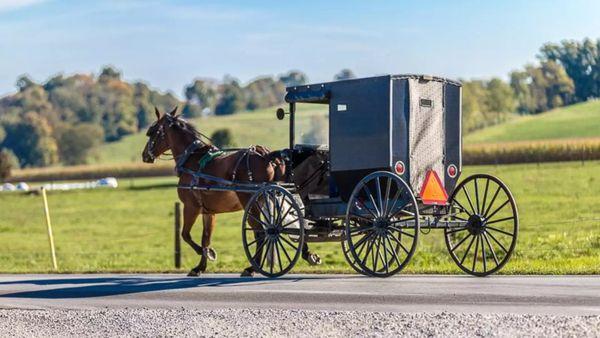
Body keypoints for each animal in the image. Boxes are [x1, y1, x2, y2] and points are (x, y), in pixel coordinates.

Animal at [142, 107, 322, 276]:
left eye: (152, 132)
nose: (145, 156)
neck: (192, 159)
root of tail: (266, 155)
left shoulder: (191, 207)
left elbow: (185, 234)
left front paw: (206, 253)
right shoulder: (208, 211)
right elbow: (205, 237)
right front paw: (200, 266)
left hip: (252, 202)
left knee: (261, 232)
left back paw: (252, 267)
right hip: (275, 196)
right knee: (290, 223)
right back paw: (306, 254)